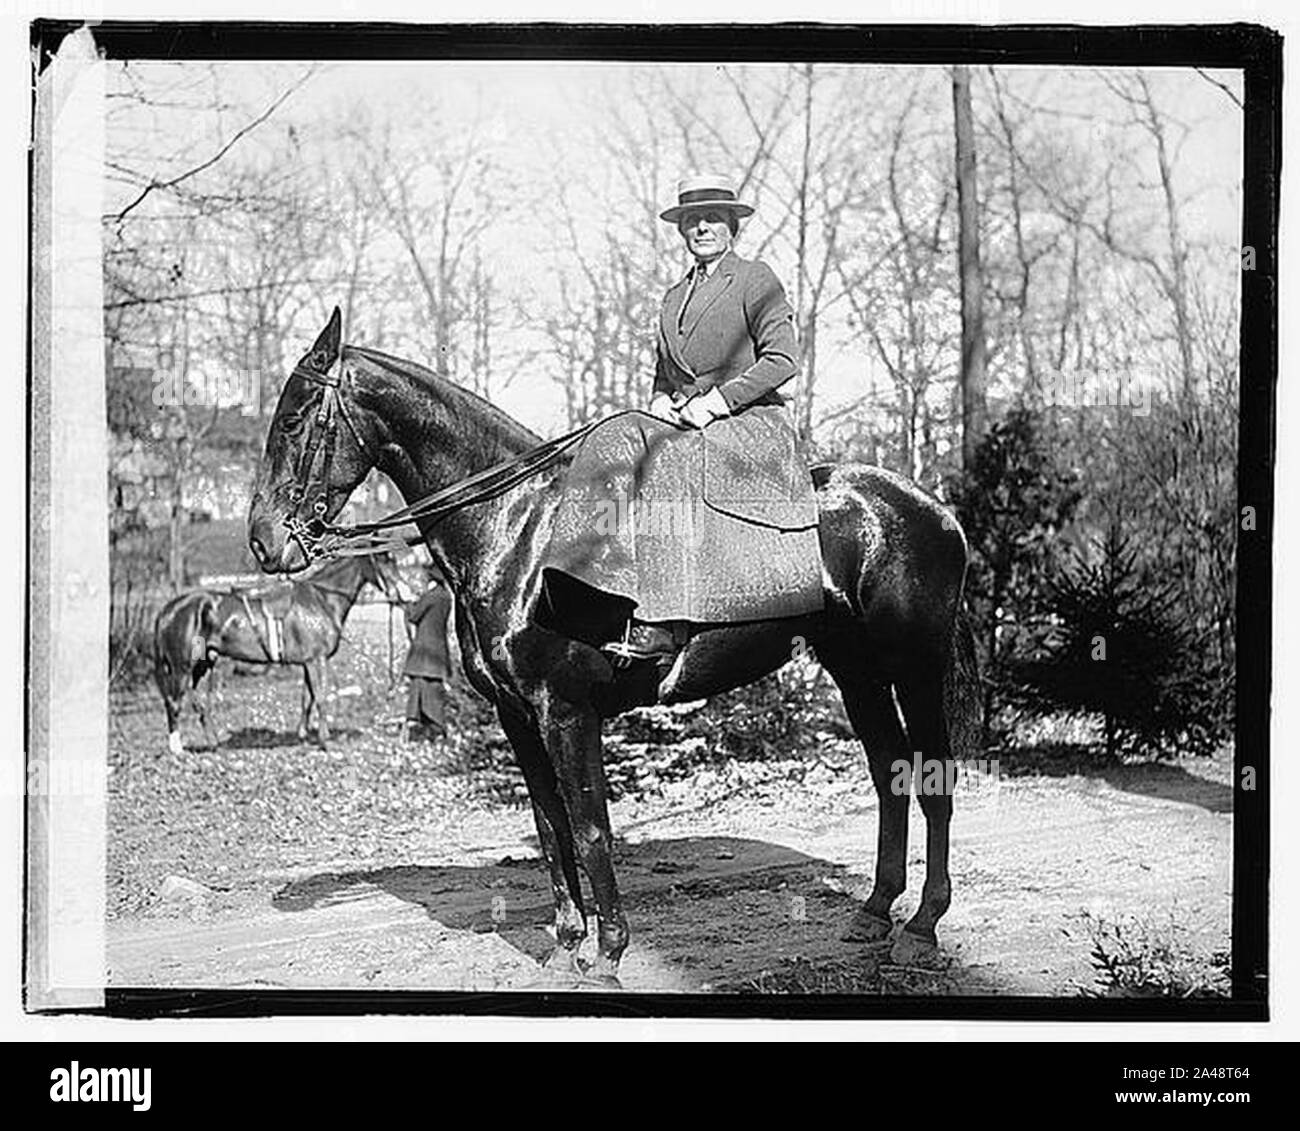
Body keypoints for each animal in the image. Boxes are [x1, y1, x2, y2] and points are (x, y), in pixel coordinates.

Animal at [152, 552, 404, 755]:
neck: (321, 599)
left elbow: (307, 700)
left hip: (202, 665)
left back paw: (214, 744)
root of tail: (169, 609)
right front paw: (325, 741)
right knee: (174, 703)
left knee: (197, 703)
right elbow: (320, 698)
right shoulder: (316, 660)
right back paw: (177, 749)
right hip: (181, 667)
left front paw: (303, 736)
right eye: (383, 560)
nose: (402, 594)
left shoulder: (307, 663)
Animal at [247, 308, 980, 987]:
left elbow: (590, 827)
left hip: (915, 667)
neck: (520, 531)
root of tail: (932, 509)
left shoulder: (567, 713)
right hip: (855, 672)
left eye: (295, 417)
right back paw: (874, 912)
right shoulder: (518, 717)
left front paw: (606, 955)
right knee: (889, 774)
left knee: (932, 780)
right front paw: (566, 946)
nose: (264, 540)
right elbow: (551, 825)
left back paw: (922, 926)